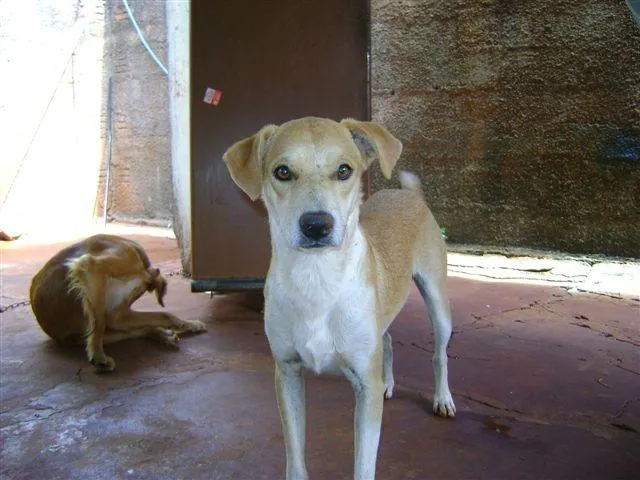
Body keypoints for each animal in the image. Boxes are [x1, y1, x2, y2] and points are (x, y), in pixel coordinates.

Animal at [29, 233, 205, 372]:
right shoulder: (93, 266)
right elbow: (99, 324)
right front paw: (98, 354)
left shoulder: (118, 314)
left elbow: (164, 314)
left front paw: (188, 324)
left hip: (92, 333)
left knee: (139, 328)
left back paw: (163, 334)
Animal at [225, 117, 456, 480]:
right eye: (282, 172)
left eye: (344, 170)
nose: (316, 225)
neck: (316, 279)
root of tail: (408, 194)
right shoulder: (287, 373)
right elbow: (295, 458)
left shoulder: (365, 389)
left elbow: (363, 464)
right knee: (387, 339)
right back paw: (389, 382)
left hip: (438, 303)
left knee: (439, 354)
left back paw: (443, 398)